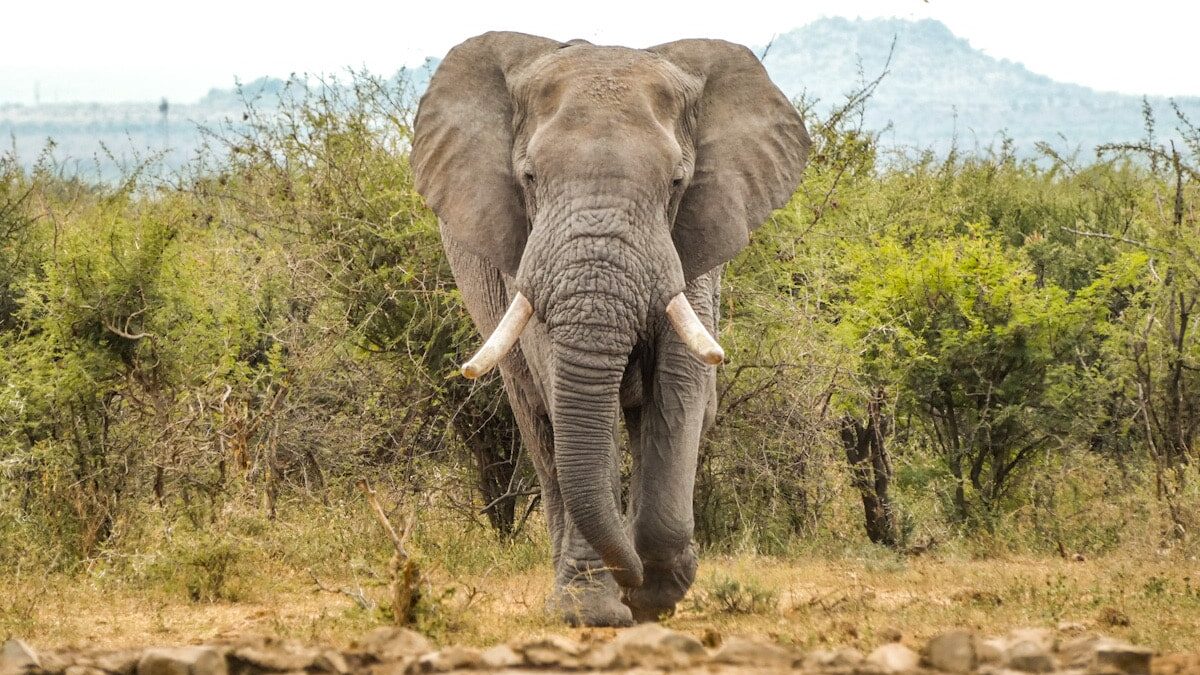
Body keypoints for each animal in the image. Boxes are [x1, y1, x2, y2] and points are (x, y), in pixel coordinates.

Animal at [408, 30, 811, 619]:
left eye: (676, 182)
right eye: (529, 178)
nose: (631, 579)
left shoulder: (693, 240)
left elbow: (681, 382)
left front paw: (654, 593)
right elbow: (560, 384)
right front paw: (599, 611)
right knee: (540, 427)